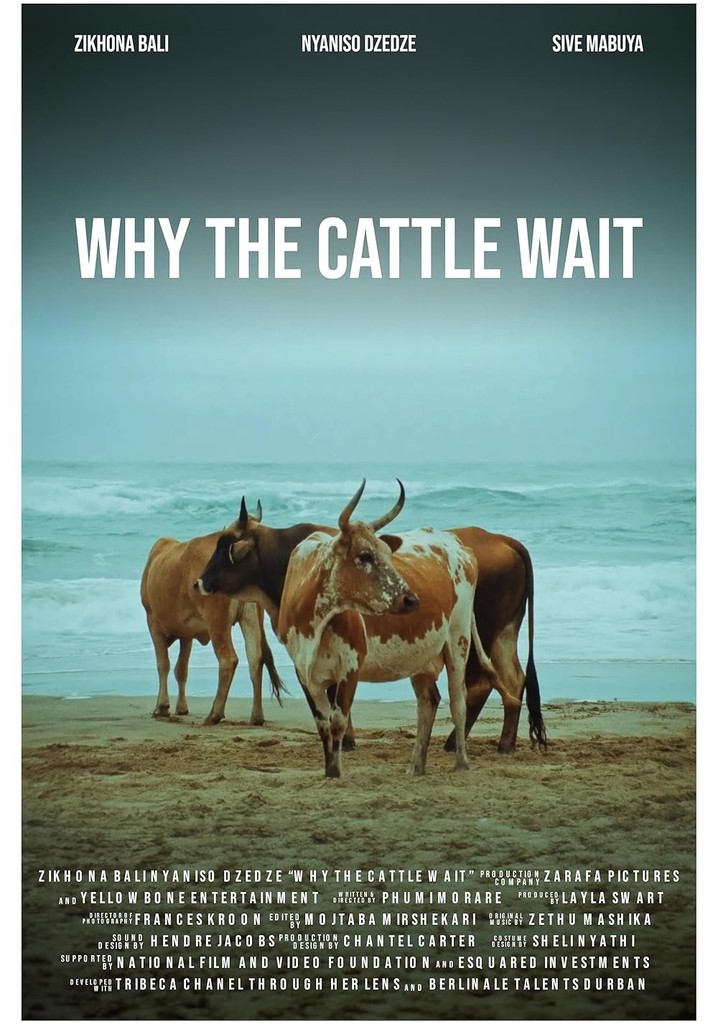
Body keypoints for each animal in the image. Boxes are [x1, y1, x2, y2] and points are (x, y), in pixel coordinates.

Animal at [140, 517, 285, 726]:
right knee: (255, 659)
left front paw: (162, 707)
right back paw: (256, 716)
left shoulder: (153, 622)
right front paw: (181, 707)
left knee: (228, 660)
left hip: (217, 623)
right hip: (250, 618)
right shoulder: (186, 633)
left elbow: (163, 665)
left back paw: (214, 714)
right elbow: (181, 669)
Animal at [196, 481, 505, 778]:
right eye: (365, 555)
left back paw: (461, 763)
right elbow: (322, 722)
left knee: (458, 702)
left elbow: (338, 720)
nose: (199, 582)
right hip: (419, 656)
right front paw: (329, 771)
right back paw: (416, 766)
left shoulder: (350, 666)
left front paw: (338, 766)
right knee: (428, 701)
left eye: (226, 546)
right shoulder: (303, 669)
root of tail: (458, 545)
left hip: (457, 641)